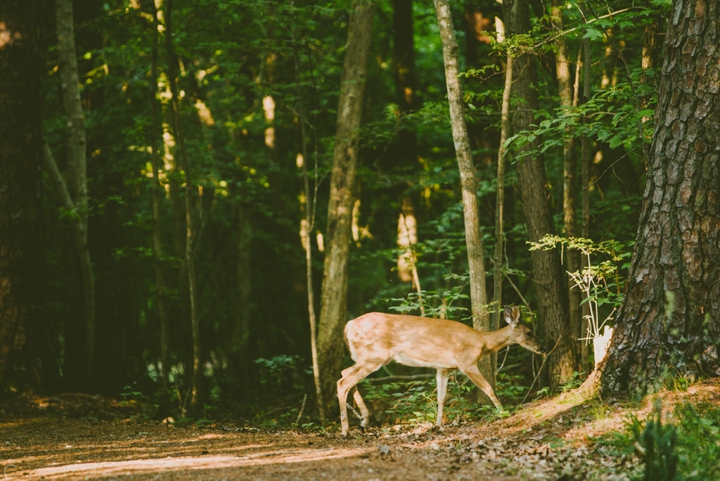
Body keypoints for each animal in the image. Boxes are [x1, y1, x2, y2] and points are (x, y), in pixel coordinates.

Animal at [336, 308, 540, 436]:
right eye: (529, 332)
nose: (542, 347)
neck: (482, 341)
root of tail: (348, 325)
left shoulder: (444, 368)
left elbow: (441, 397)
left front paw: (438, 425)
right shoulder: (467, 362)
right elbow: (488, 387)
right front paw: (503, 412)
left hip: (367, 357)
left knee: (345, 373)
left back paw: (363, 420)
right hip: (375, 355)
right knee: (343, 381)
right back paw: (346, 430)